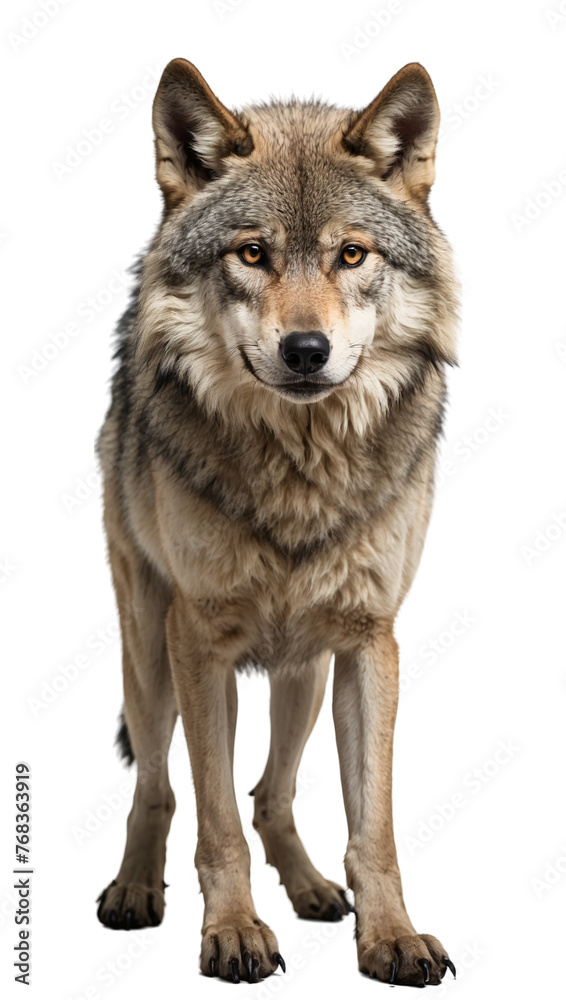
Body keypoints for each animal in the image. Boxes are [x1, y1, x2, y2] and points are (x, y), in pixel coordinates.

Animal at [95, 58, 460, 988]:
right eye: (252, 253)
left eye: (351, 254)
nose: (305, 352)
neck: (301, 470)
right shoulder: (199, 640)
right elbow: (214, 822)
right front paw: (232, 933)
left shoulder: (370, 640)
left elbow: (374, 827)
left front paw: (392, 936)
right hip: (150, 652)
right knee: (159, 787)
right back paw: (134, 889)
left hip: (304, 672)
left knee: (274, 794)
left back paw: (312, 890)